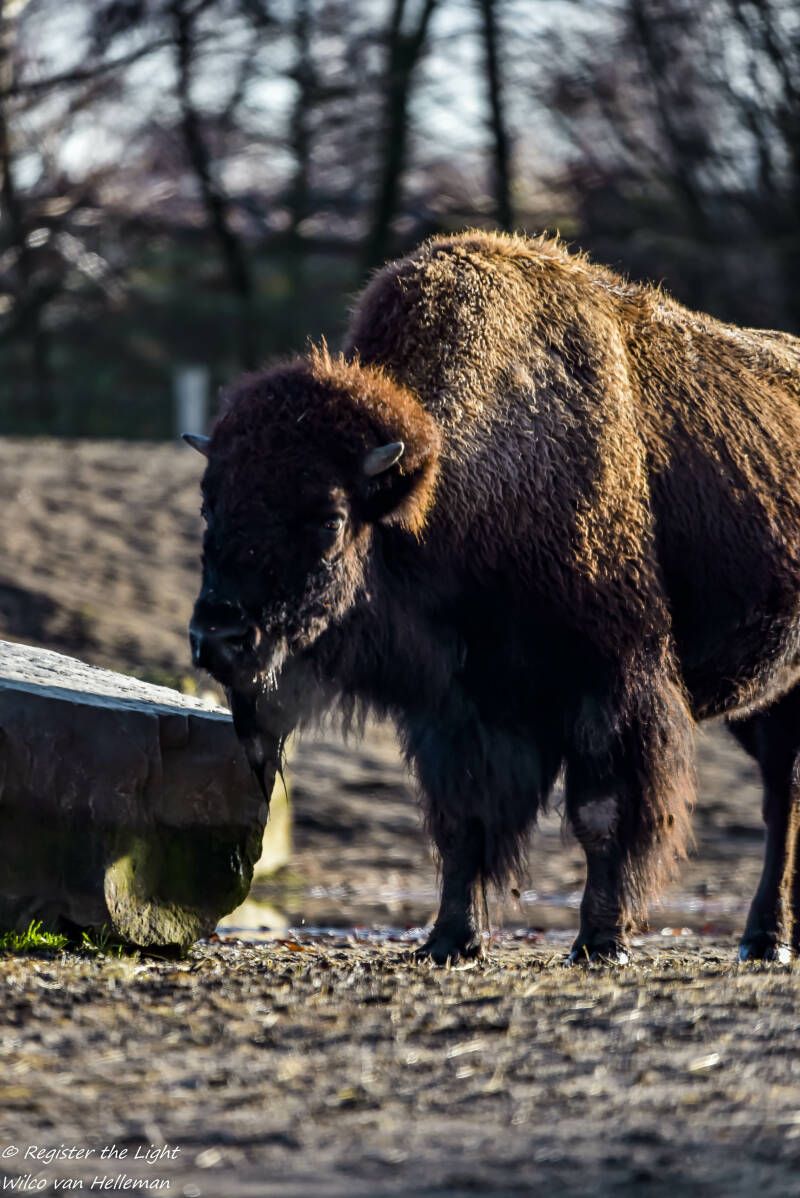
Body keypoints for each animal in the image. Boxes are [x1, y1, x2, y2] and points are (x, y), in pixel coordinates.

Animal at [185, 230, 800, 965]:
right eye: (210, 506)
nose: (217, 637)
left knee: (780, 800)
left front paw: (601, 941)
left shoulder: (610, 682)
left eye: (329, 520)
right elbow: (464, 822)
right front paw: (450, 940)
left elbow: (602, 815)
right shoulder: (459, 708)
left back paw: (765, 940)